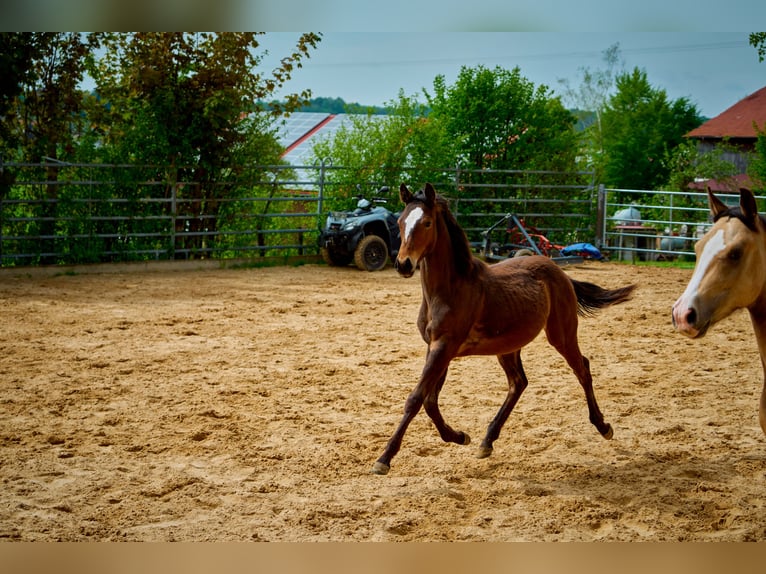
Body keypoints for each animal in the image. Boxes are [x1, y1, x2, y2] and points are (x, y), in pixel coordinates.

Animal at [376, 184, 640, 476]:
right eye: (401, 222)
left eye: (427, 223)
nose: (403, 264)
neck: (450, 290)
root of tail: (558, 270)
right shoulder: (436, 348)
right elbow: (430, 400)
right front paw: (460, 437)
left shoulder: (444, 347)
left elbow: (416, 399)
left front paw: (384, 458)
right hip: (508, 345)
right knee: (519, 382)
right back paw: (487, 441)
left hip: (561, 335)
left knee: (582, 368)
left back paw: (603, 427)